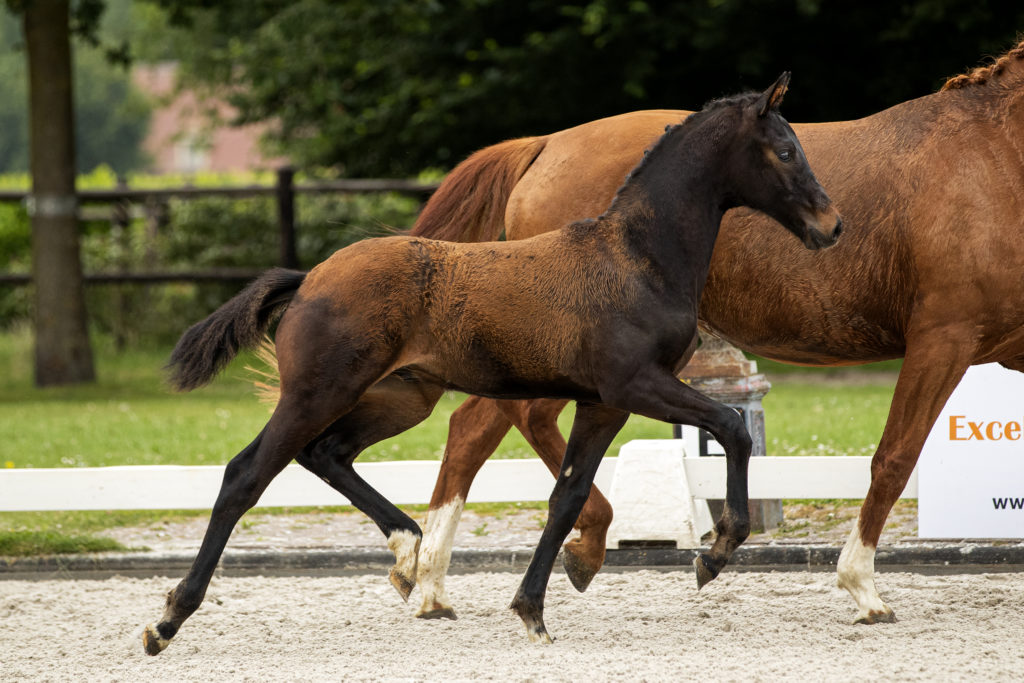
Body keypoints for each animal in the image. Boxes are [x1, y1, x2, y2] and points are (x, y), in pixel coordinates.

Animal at [142, 72, 839, 655]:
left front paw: (533, 610)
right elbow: (731, 426)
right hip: (318, 393)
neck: (637, 255)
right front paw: (714, 554)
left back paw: (410, 553)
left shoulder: (603, 402)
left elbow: (567, 495)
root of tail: (310, 278)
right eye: (785, 151)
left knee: (327, 454)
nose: (831, 226)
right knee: (247, 474)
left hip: (399, 398)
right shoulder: (637, 384)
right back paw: (168, 619)